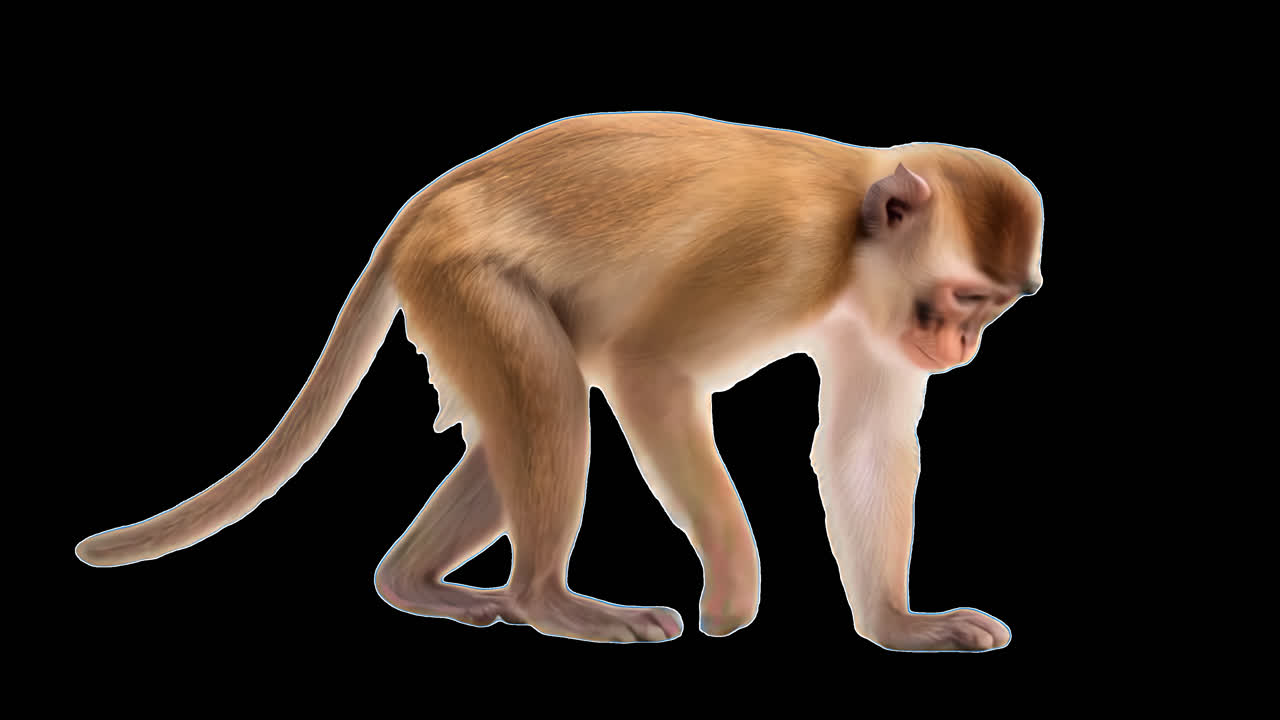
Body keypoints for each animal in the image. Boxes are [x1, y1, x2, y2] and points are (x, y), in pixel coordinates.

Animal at [76, 112, 1043, 650]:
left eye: (997, 308)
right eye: (963, 300)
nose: (961, 348)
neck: (852, 242)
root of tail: (427, 204)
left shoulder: (869, 324)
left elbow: (861, 446)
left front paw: (898, 627)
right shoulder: (781, 254)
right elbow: (649, 368)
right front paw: (734, 589)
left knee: (529, 412)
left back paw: (413, 584)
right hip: (464, 273)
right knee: (552, 401)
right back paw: (547, 601)